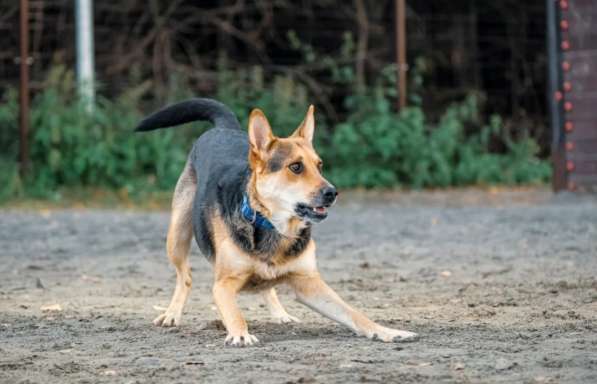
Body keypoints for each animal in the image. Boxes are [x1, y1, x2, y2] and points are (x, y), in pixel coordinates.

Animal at [136, 98, 414, 344]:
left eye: (320, 165)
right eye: (296, 167)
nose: (332, 192)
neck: (274, 226)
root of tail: (225, 128)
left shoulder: (308, 282)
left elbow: (353, 312)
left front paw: (387, 331)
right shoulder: (223, 285)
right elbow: (234, 312)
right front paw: (240, 334)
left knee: (267, 286)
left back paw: (280, 313)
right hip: (177, 237)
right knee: (185, 277)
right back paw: (172, 314)